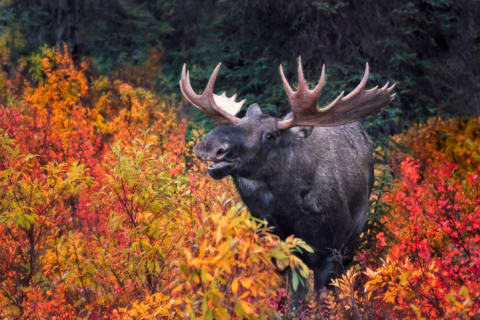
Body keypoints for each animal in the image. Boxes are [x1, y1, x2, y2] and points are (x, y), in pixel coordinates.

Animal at [178, 58, 396, 294]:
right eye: (240, 123)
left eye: (270, 135)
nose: (210, 145)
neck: (291, 213)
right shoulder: (278, 248)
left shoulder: (332, 251)